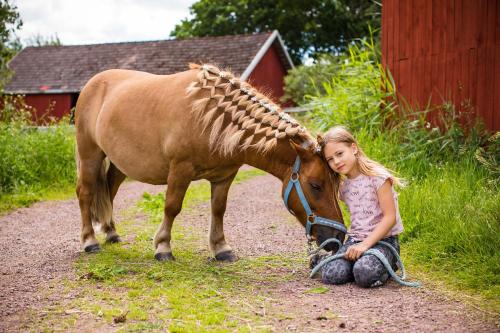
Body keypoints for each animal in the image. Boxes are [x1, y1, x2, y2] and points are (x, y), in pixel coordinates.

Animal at [75, 61, 344, 260]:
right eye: (316, 185)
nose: (337, 239)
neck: (211, 116)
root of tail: (91, 84)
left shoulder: (225, 176)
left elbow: (218, 209)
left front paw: (221, 249)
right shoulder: (180, 170)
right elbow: (172, 206)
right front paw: (163, 247)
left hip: (119, 164)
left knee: (109, 191)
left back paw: (111, 233)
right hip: (90, 154)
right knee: (86, 192)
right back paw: (90, 241)